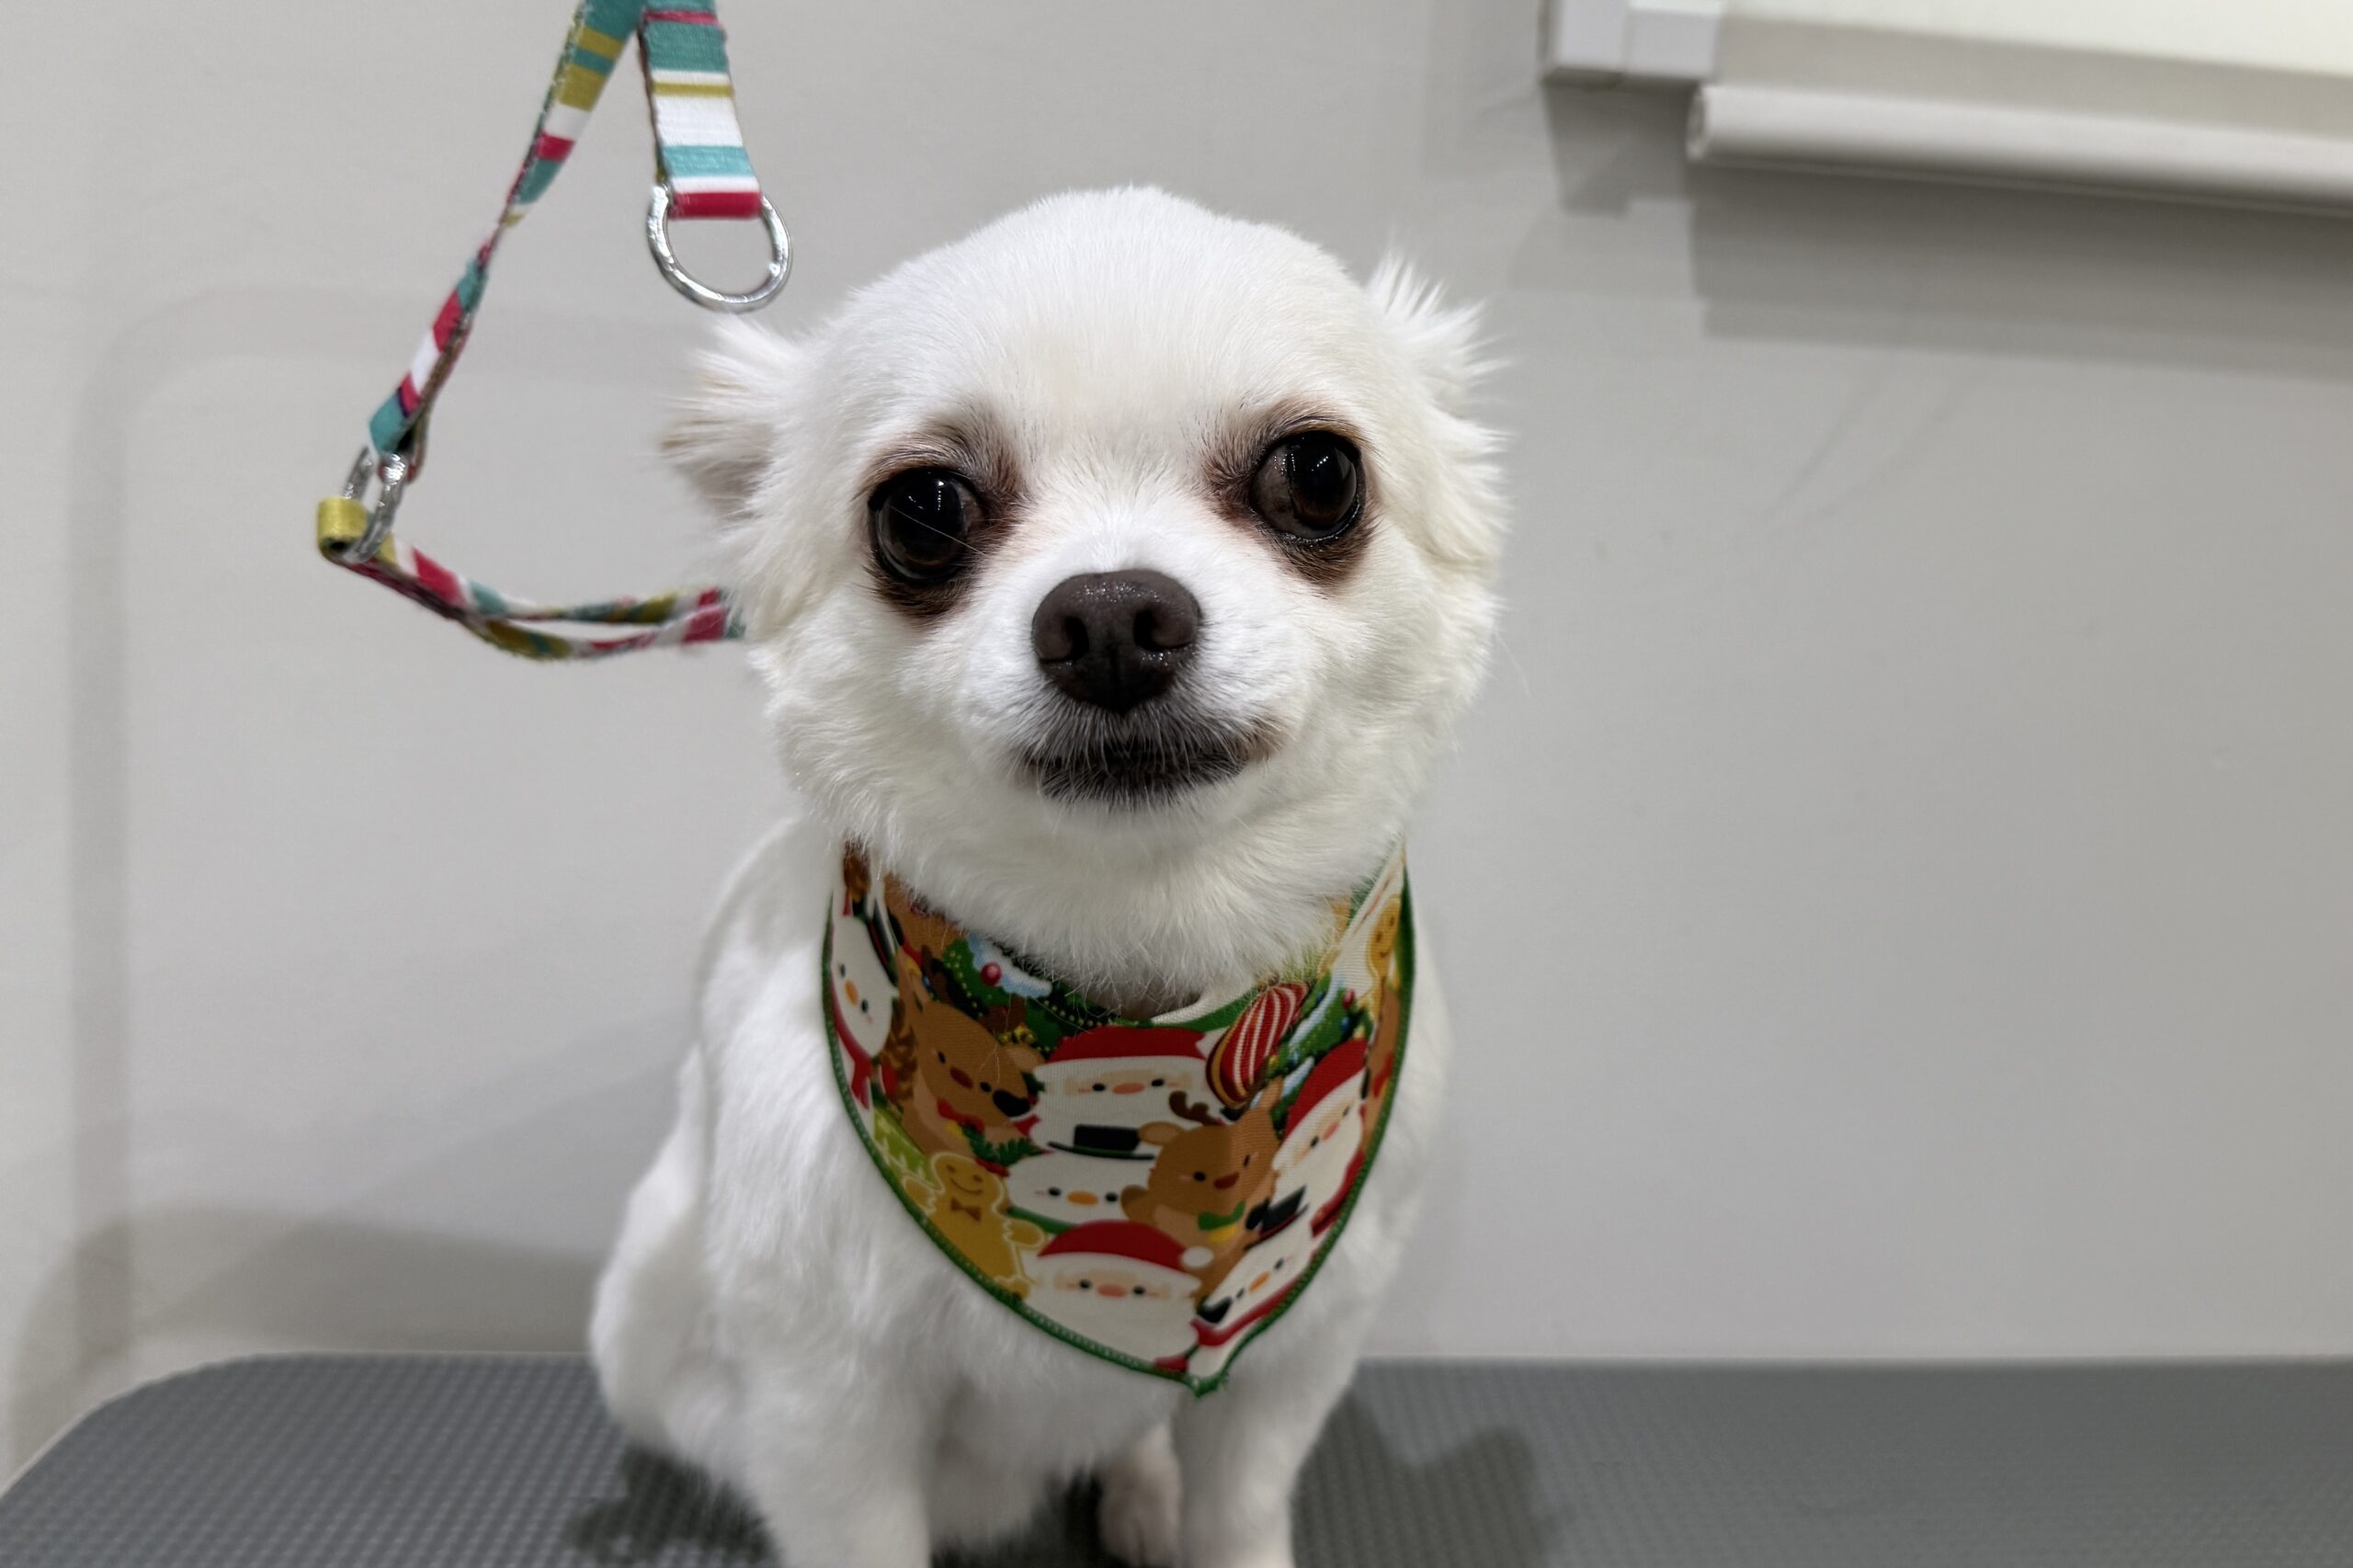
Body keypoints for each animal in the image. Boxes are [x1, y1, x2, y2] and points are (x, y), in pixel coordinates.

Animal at [591, 187, 1505, 1568]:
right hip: (646, 1331)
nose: (1114, 615)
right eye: (923, 509)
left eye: (1318, 472)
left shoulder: (1291, 1357)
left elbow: (1242, 1510)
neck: (1134, 975)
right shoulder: (823, 1397)